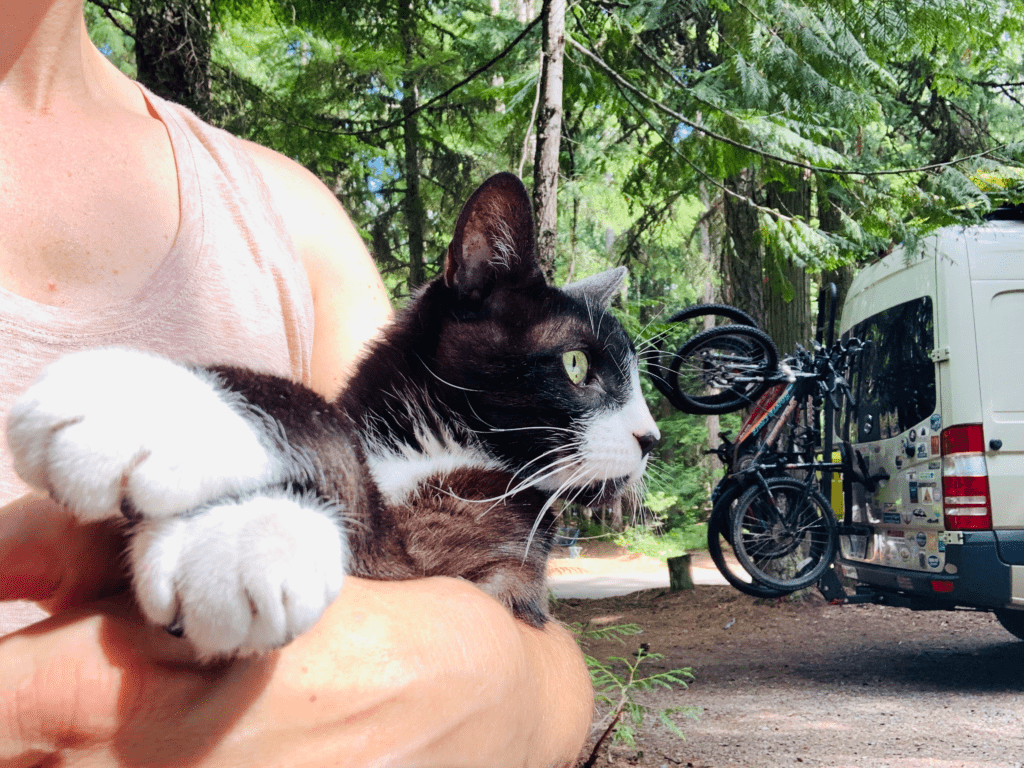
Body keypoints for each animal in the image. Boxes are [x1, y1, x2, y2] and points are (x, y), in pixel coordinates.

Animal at [6, 173, 655, 663]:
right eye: (577, 363)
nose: (649, 437)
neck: (421, 440)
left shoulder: (474, 570)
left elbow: (332, 441)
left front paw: (241, 533)